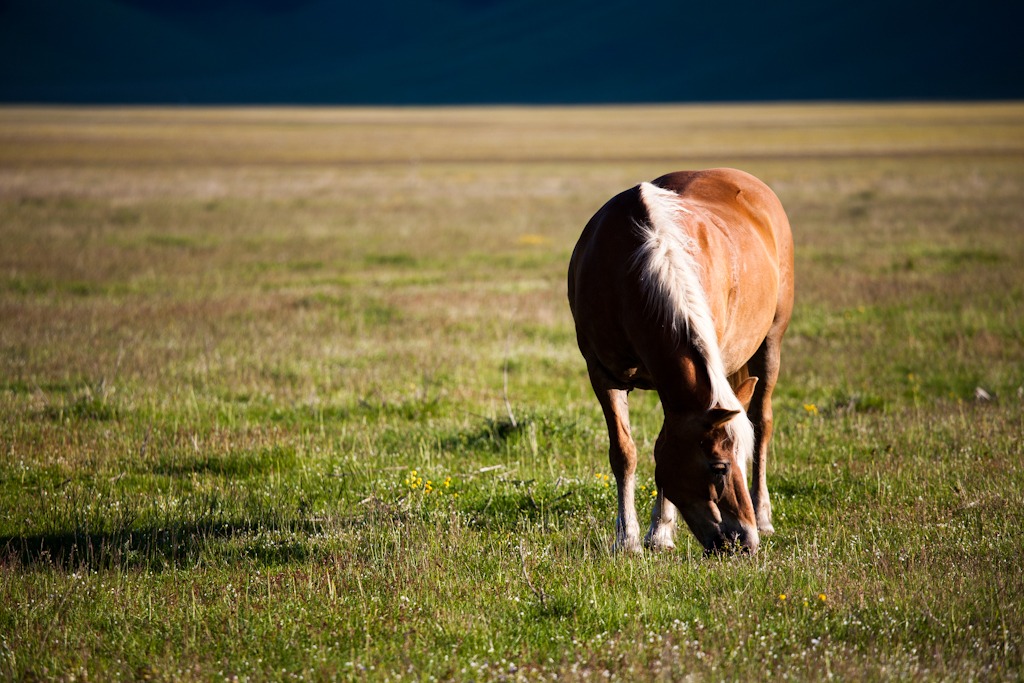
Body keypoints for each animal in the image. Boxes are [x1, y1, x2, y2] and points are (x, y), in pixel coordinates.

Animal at [567, 168, 794, 555]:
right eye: (719, 467)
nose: (745, 542)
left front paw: (659, 532)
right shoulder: (602, 373)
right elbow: (624, 453)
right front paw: (627, 538)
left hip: (770, 343)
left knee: (762, 421)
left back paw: (764, 515)